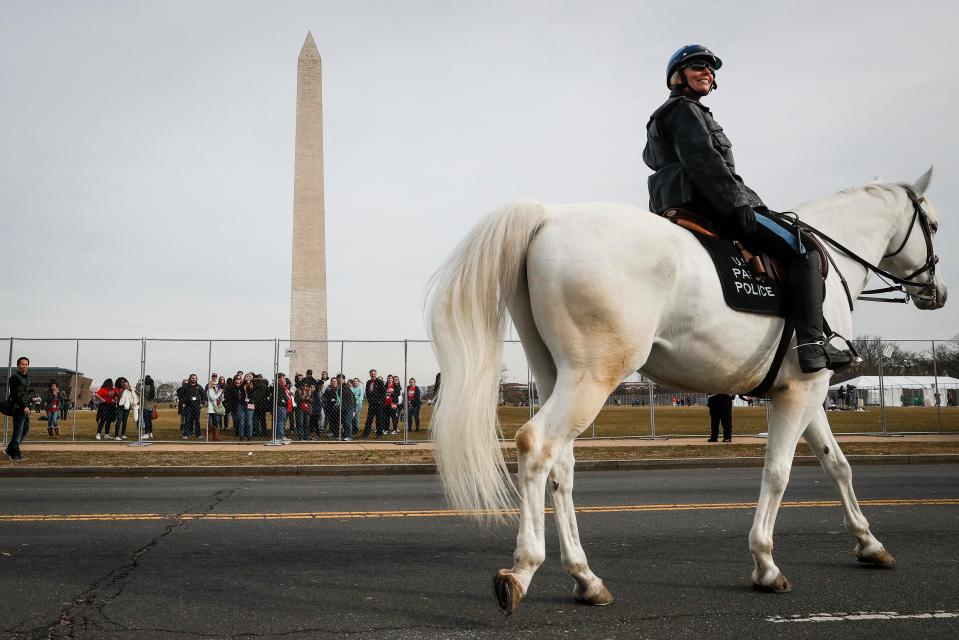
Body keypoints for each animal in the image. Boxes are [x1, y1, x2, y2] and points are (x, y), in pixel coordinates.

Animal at [428, 168, 944, 612]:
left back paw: (585, 577)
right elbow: (777, 473)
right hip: (592, 376)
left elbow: (838, 466)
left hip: (560, 375)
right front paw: (765, 563)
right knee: (536, 445)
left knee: (562, 467)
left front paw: (869, 543)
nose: (936, 293)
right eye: (935, 225)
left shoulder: (807, 391)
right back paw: (523, 569)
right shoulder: (800, 393)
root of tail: (549, 216)